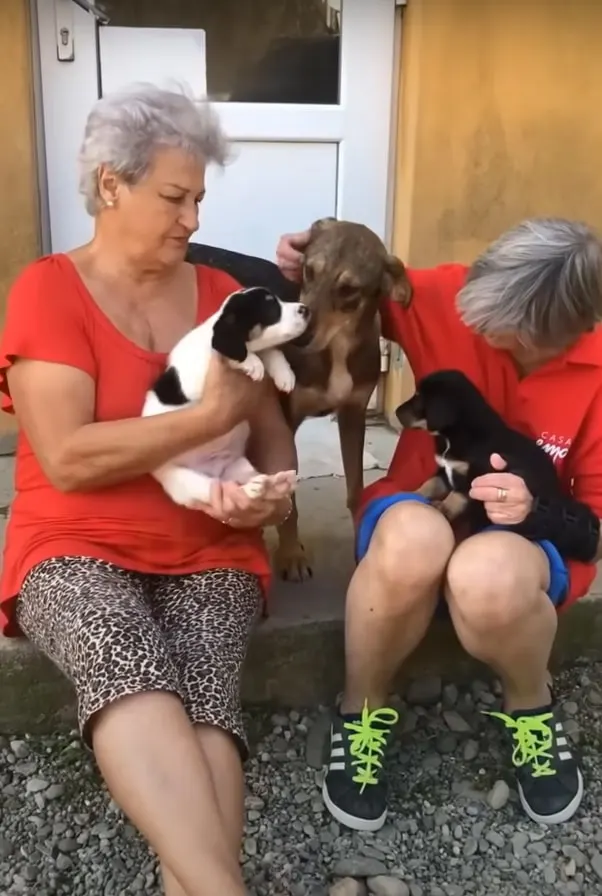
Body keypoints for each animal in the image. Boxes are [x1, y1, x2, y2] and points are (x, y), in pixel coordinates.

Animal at [142, 286, 310, 509]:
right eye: (271, 307)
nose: (306, 309)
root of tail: (216, 470)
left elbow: (271, 352)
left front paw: (284, 374)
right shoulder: (197, 376)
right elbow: (238, 356)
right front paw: (252, 363)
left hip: (240, 466)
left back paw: (275, 482)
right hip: (187, 483)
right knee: (218, 488)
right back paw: (251, 489)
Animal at [187, 217, 412, 580]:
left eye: (349, 289)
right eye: (309, 271)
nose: (300, 338)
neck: (336, 349)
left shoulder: (352, 414)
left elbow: (355, 490)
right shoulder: (285, 417)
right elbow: (289, 497)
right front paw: (291, 553)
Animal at [395, 369, 563, 533]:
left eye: (419, 398)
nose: (396, 412)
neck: (451, 436)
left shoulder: (474, 476)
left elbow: (456, 495)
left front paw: (443, 508)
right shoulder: (444, 470)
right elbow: (430, 483)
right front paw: (414, 493)